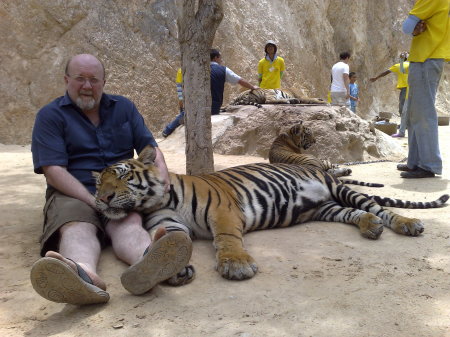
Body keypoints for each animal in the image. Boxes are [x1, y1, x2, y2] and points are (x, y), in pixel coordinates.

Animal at [94, 146, 446, 288]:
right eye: (99, 183)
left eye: (123, 176)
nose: (102, 199)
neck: (158, 201)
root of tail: (318, 168)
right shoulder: (168, 223)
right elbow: (170, 243)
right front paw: (170, 267)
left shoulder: (223, 212)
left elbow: (227, 240)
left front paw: (236, 265)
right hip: (326, 207)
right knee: (357, 213)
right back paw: (370, 227)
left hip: (341, 191)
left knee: (379, 207)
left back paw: (407, 225)